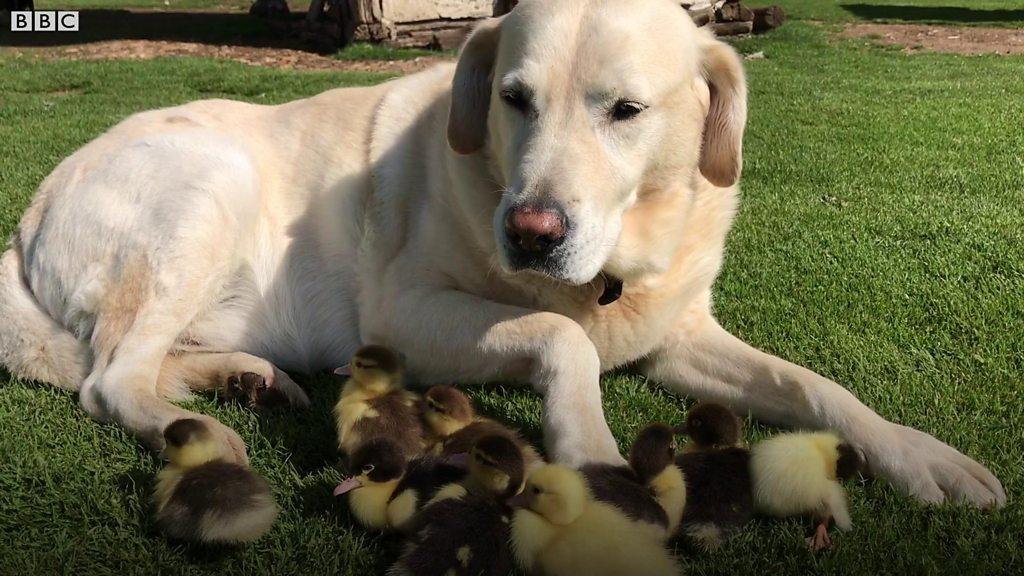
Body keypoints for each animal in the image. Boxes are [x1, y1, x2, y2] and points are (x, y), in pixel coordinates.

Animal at [0, 0, 1003, 506]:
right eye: (513, 99)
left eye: (625, 111)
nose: (530, 232)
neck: (611, 275)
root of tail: (29, 208)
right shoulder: (404, 315)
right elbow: (561, 339)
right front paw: (589, 448)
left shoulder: (680, 337)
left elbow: (817, 388)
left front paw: (922, 458)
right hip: (210, 185)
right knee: (107, 378)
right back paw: (205, 429)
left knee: (133, 360)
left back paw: (243, 380)